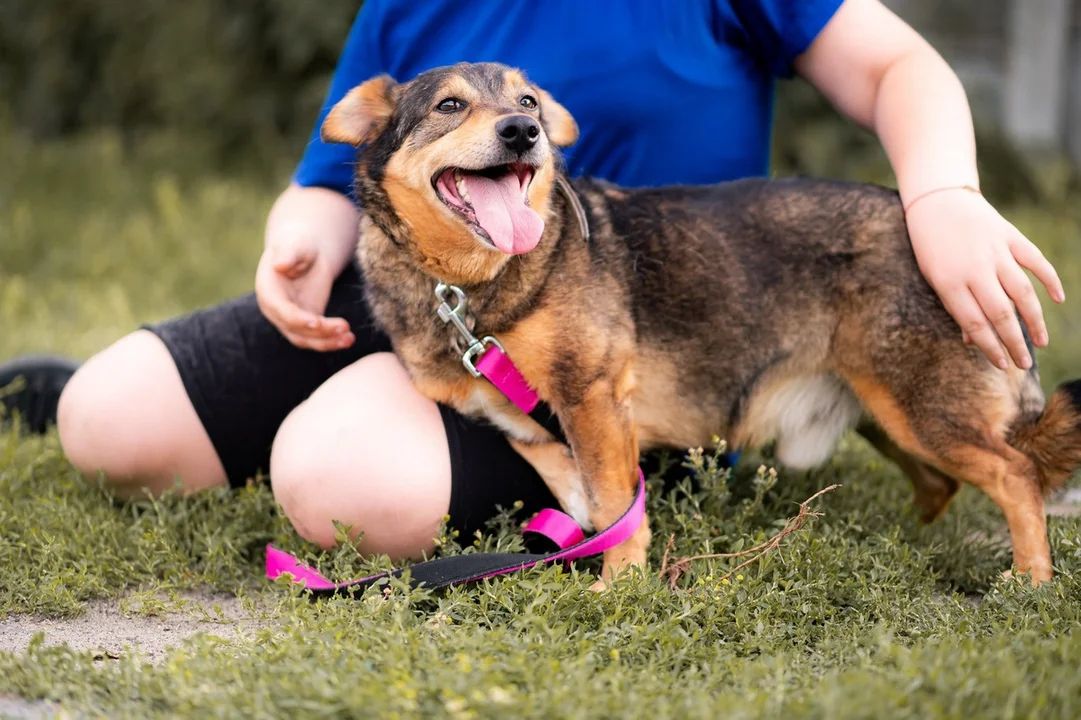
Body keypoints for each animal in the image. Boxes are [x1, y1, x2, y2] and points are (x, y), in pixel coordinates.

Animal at [317, 61, 1081, 588]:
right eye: (449, 105)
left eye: (526, 102)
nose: (523, 132)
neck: (469, 285)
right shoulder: (520, 413)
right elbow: (572, 479)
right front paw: (585, 535)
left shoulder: (592, 397)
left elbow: (614, 501)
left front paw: (618, 584)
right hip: (885, 412)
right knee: (944, 484)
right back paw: (899, 539)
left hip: (919, 408)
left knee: (1014, 474)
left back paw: (1029, 580)